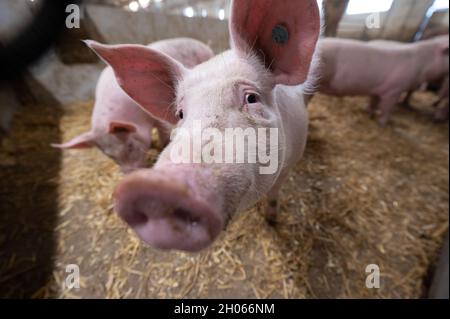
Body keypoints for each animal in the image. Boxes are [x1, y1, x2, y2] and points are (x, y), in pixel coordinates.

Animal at [52, 38, 214, 174]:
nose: (129, 174)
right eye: (110, 156)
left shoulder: (157, 117)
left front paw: (163, 144)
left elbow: (164, 131)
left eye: (130, 146)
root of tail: (200, 43)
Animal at [314, 35, 448, 125]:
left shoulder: (378, 89)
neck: (422, 66)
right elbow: (386, 108)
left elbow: (374, 102)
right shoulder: (394, 89)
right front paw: (383, 123)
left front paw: (368, 112)